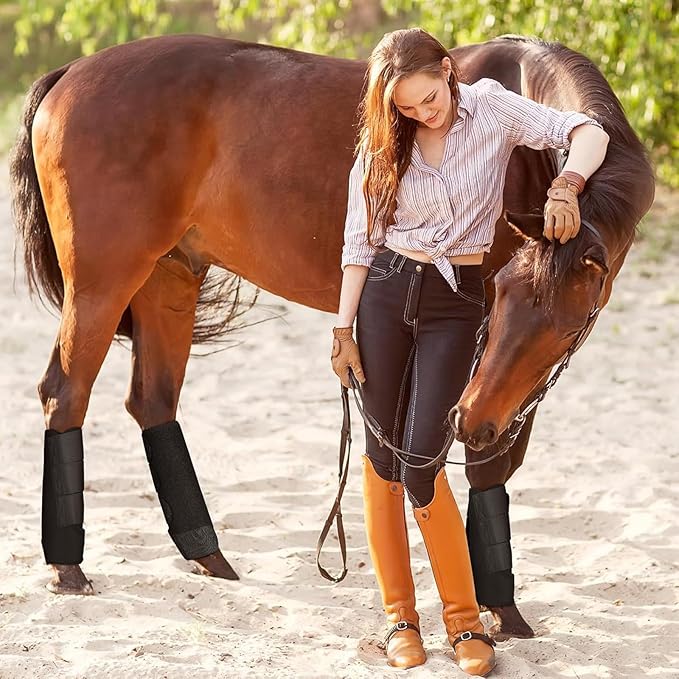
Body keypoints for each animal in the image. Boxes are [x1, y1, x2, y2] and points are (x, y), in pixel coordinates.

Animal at [10, 33, 654, 640]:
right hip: (103, 286)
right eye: (500, 297)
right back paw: (69, 568)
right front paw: (501, 609)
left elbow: (492, 460)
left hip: (169, 276)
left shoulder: (509, 385)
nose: (470, 419)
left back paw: (207, 555)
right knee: (65, 394)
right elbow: (482, 465)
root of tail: (70, 73)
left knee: (152, 402)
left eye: (567, 323)